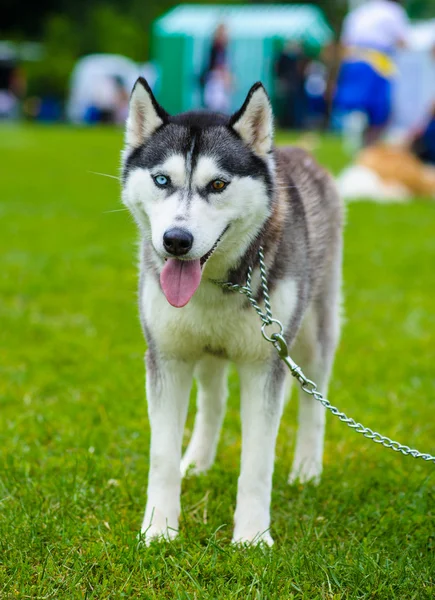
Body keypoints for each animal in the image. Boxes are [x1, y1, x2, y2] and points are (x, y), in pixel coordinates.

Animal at [120, 77, 344, 548]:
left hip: (313, 333)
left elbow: (257, 463)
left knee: (313, 399)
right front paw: (158, 529)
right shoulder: (167, 357)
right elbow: (161, 455)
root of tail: (298, 151)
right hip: (206, 349)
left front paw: (253, 538)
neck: (214, 284)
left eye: (219, 185)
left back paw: (307, 470)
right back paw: (197, 462)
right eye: (162, 180)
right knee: (214, 399)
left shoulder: (265, 362)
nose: (176, 240)